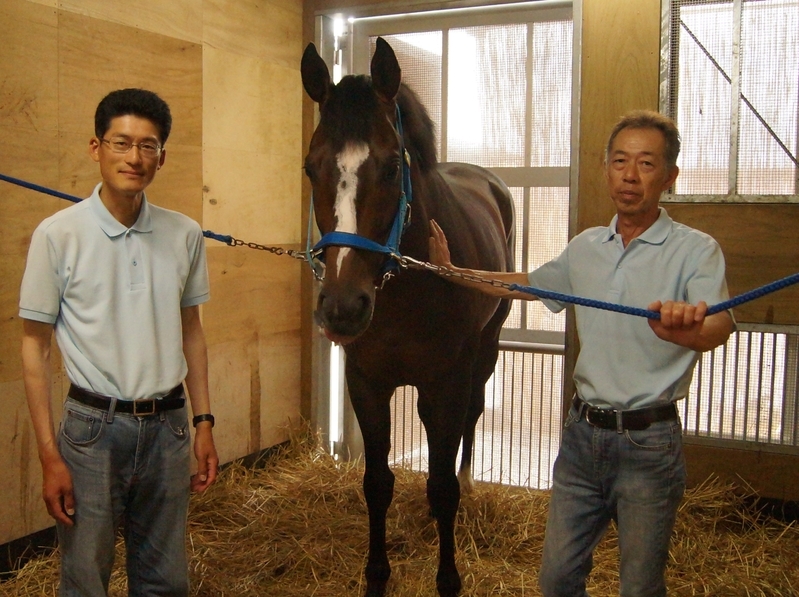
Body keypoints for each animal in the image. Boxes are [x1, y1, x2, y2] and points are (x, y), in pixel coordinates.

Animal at [304, 37, 516, 596]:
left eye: (391, 168)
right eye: (310, 167)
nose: (342, 307)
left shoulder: (448, 380)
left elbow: (442, 487)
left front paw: (448, 578)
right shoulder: (366, 383)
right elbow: (377, 483)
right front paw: (377, 576)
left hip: (485, 352)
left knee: (471, 420)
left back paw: (469, 482)